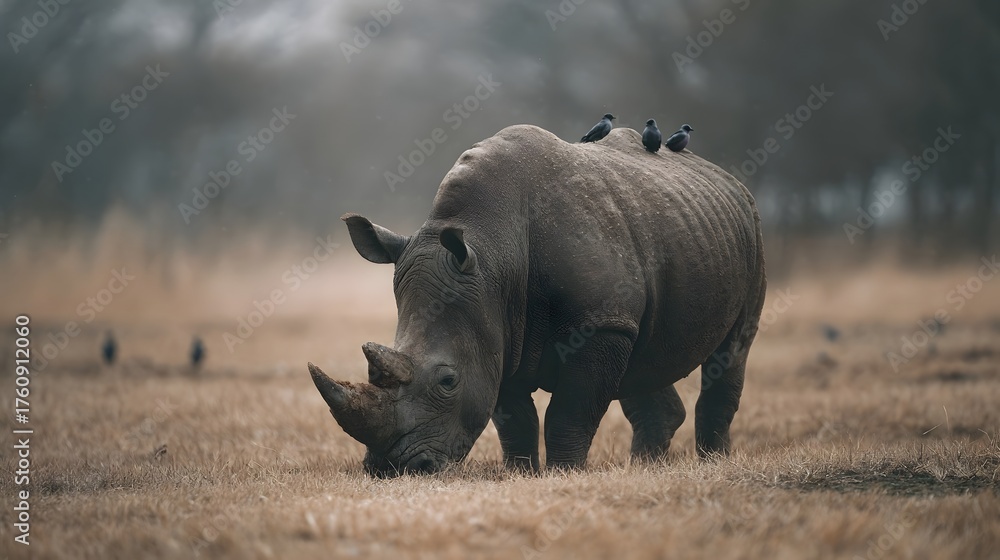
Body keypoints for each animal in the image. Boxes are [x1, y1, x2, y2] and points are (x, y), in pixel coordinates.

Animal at [308, 124, 766, 476]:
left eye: (447, 381)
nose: (393, 469)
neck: (493, 253)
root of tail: (729, 179)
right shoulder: (496, 328)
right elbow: (513, 416)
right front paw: (520, 473)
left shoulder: (598, 323)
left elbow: (570, 410)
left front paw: (565, 473)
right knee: (644, 357)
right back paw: (644, 468)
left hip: (749, 232)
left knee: (733, 349)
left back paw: (713, 462)